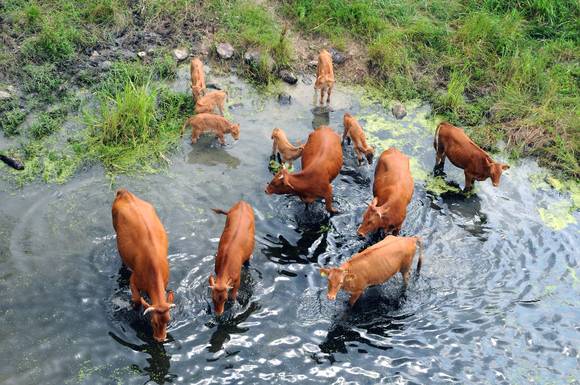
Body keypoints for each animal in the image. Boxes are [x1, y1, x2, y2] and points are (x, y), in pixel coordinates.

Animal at [111, 189, 174, 342]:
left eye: (168, 321)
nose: (160, 340)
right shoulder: (133, 281)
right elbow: (137, 300)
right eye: (153, 322)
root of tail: (125, 193)